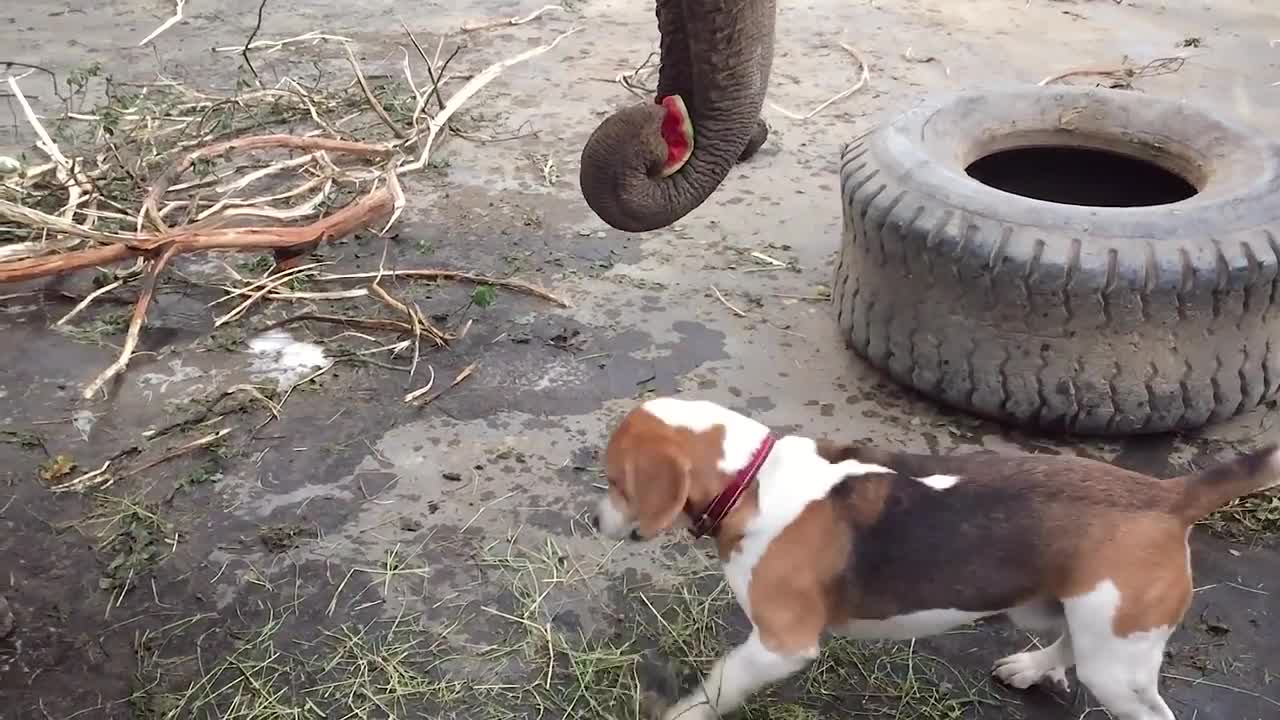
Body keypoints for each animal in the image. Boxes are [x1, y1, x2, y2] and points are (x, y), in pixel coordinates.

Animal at [588, 397, 1280, 717]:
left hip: (1119, 661)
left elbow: (717, 685)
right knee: (1067, 643)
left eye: (616, 482)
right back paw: (1032, 669)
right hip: (1069, 613)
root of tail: (1166, 495)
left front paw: (682, 710)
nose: (595, 521)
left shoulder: (780, 645)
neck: (750, 479)